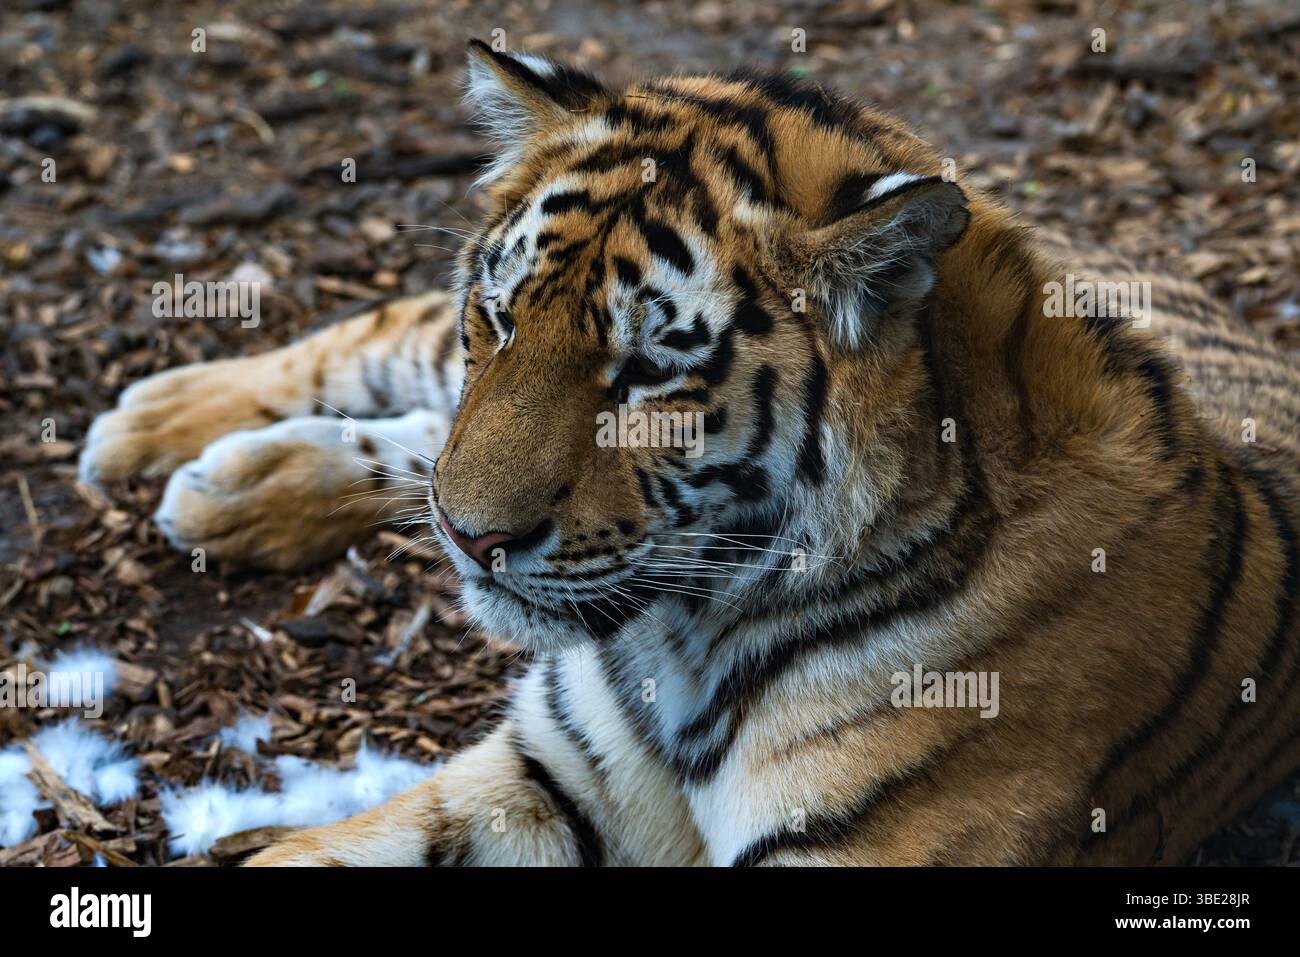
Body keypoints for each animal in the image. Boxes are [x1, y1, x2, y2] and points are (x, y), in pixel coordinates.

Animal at [77, 41, 1300, 866]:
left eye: (648, 375)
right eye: (501, 317)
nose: (474, 541)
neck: (690, 629)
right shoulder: (549, 770)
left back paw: (224, 483)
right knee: (389, 349)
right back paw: (154, 423)